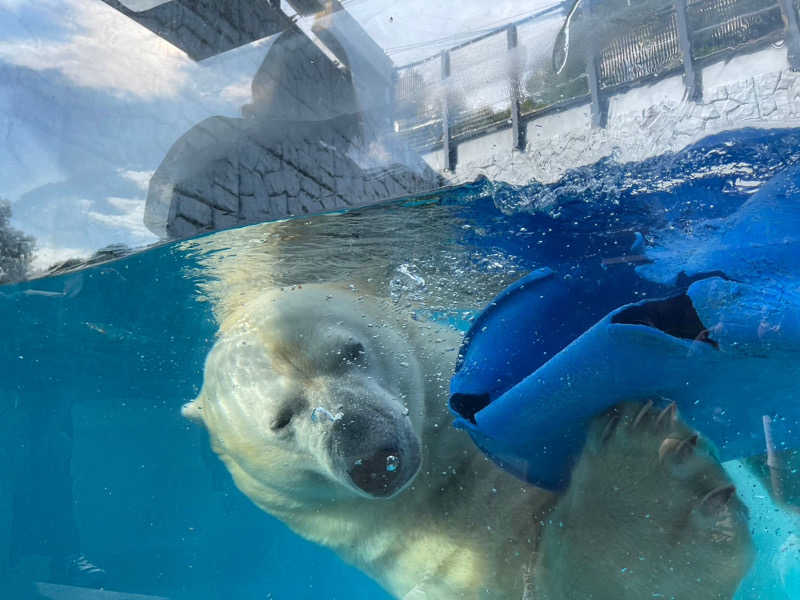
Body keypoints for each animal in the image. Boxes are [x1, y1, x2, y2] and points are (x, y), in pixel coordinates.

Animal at [184, 217, 752, 600]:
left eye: (351, 351)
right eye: (281, 418)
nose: (374, 457)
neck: (444, 484)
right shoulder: (439, 562)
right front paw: (650, 484)